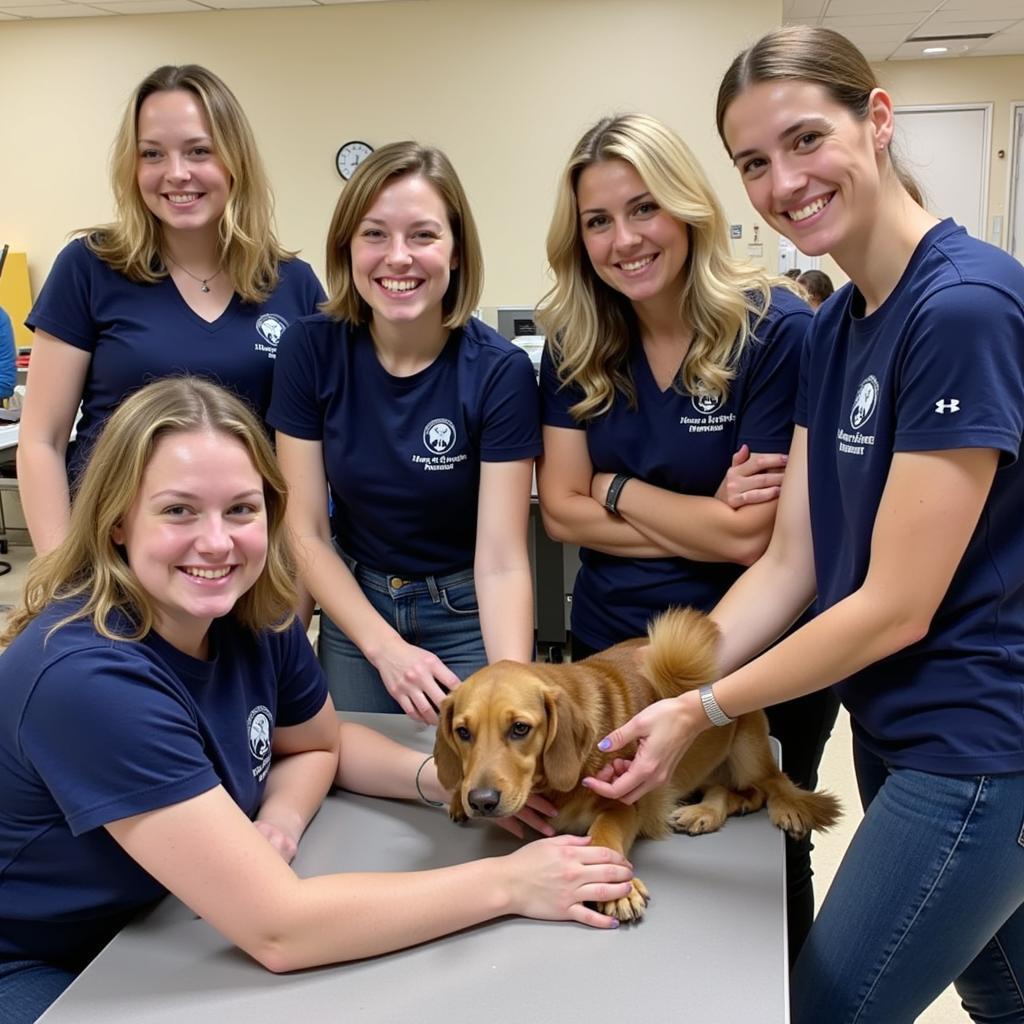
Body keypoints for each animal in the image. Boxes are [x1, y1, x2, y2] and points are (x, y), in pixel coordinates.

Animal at [432, 602, 839, 925]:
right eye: (463, 732)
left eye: (520, 728)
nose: (482, 801)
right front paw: (457, 796)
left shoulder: (624, 803)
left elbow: (604, 834)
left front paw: (618, 889)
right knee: (734, 791)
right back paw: (704, 812)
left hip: (746, 748)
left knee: (771, 783)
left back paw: (776, 806)